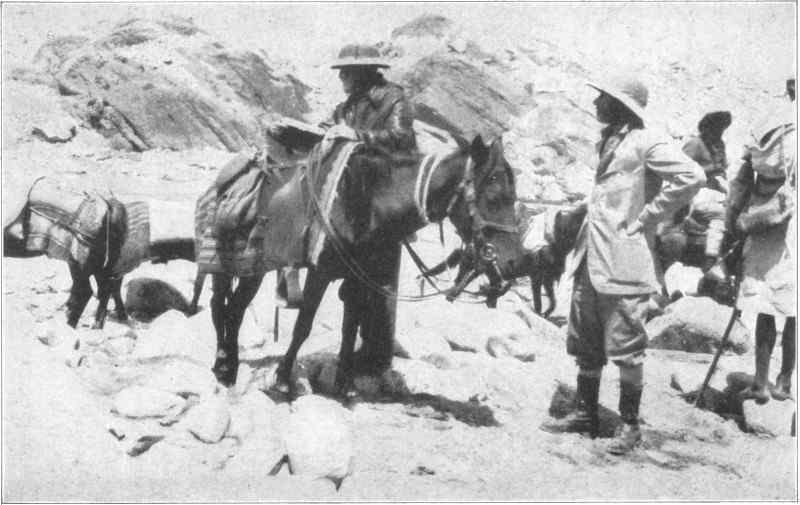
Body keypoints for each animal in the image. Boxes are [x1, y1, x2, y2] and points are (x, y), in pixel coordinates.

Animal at [4, 178, 196, 328]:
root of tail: (110, 206)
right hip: (98, 265)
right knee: (105, 289)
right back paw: (100, 323)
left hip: (79, 263)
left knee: (87, 291)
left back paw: (72, 324)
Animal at [195, 135, 525, 396]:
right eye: (494, 198)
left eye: (514, 198)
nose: (514, 263)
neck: (366, 202)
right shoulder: (320, 272)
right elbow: (304, 325)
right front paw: (283, 380)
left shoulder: (356, 278)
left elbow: (349, 329)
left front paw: (344, 384)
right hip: (226, 266)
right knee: (221, 308)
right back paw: (222, 366)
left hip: (255, 267)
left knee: (235, 310)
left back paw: (229, 368)